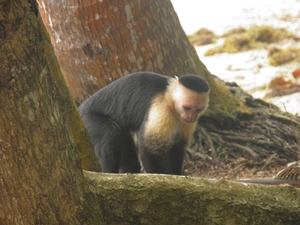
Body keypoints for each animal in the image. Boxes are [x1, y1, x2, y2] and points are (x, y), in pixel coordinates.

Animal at [78, 71, 210, 174]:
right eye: (187, 107)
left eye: (198, 109)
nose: (190, 117)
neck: (170, 100)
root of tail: (79, 109)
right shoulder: (162, 108)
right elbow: (150, 148)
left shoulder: (186, 122)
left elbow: (177, 147)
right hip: (86, 120)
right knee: (110, 132)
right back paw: (108, 174)